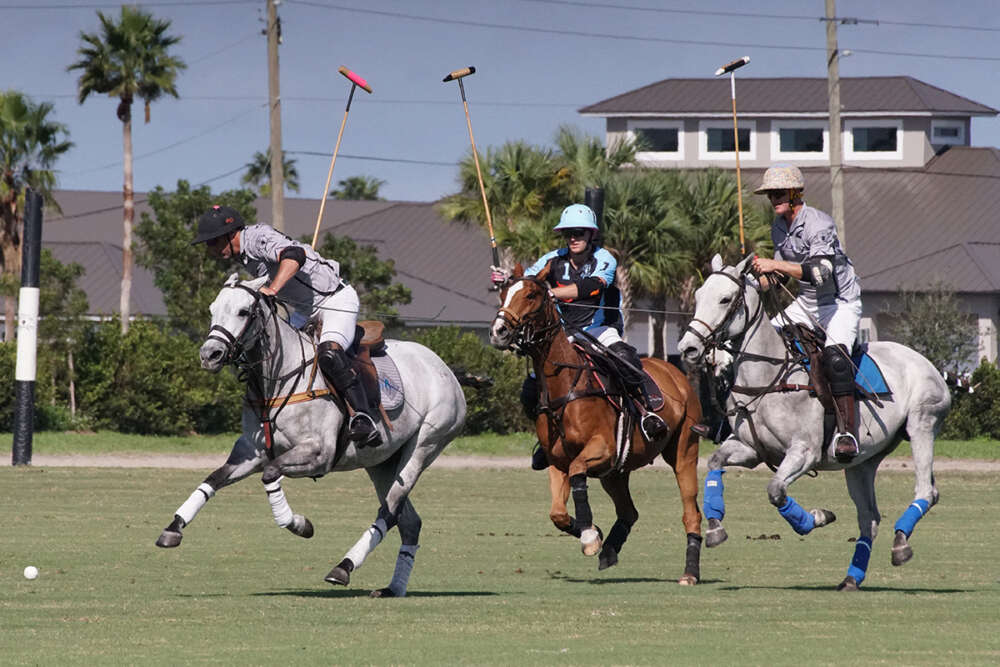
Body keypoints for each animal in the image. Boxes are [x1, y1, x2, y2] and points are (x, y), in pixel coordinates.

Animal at [156, 274, 468, 596]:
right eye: (212, 309)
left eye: (243, 312)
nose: (209, 355)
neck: (277, 379)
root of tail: (445, 369)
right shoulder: (249, 453)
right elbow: (213, 479)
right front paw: (173, 528)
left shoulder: (318, 454)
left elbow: (270, 474)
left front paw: (298, 524)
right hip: (382, 462)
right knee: (409, 522)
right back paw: (392, 588)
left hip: (423, 446)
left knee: (390, 512)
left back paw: (343, 567)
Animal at [492, 268, 704, 580]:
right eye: (503, 293)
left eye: (530, 295)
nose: (499, 331)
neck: (566, 385)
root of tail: (675, 372)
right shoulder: (558, 461)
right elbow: (557, 513)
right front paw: (593, 533)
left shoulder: (602, 449)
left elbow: (578, 472)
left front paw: (590, 536)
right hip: (616, 472)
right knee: (629, 512)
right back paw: (609, 551)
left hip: (684, 451)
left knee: (691, 512)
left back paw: (690, 572)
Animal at [676, 256, 948, 588]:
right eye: (699, 295)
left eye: (725, 299)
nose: (688, 349)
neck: (769, 376)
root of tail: (930, 365)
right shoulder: (750, 448)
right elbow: (715, 462)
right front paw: (715, 527)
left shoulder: (804, 452)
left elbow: (775, 489)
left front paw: (817, 518)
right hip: (861, 461)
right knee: (869, 517)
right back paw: (851, 578)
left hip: (922, 424)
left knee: (925, 491)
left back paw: (900, 544)